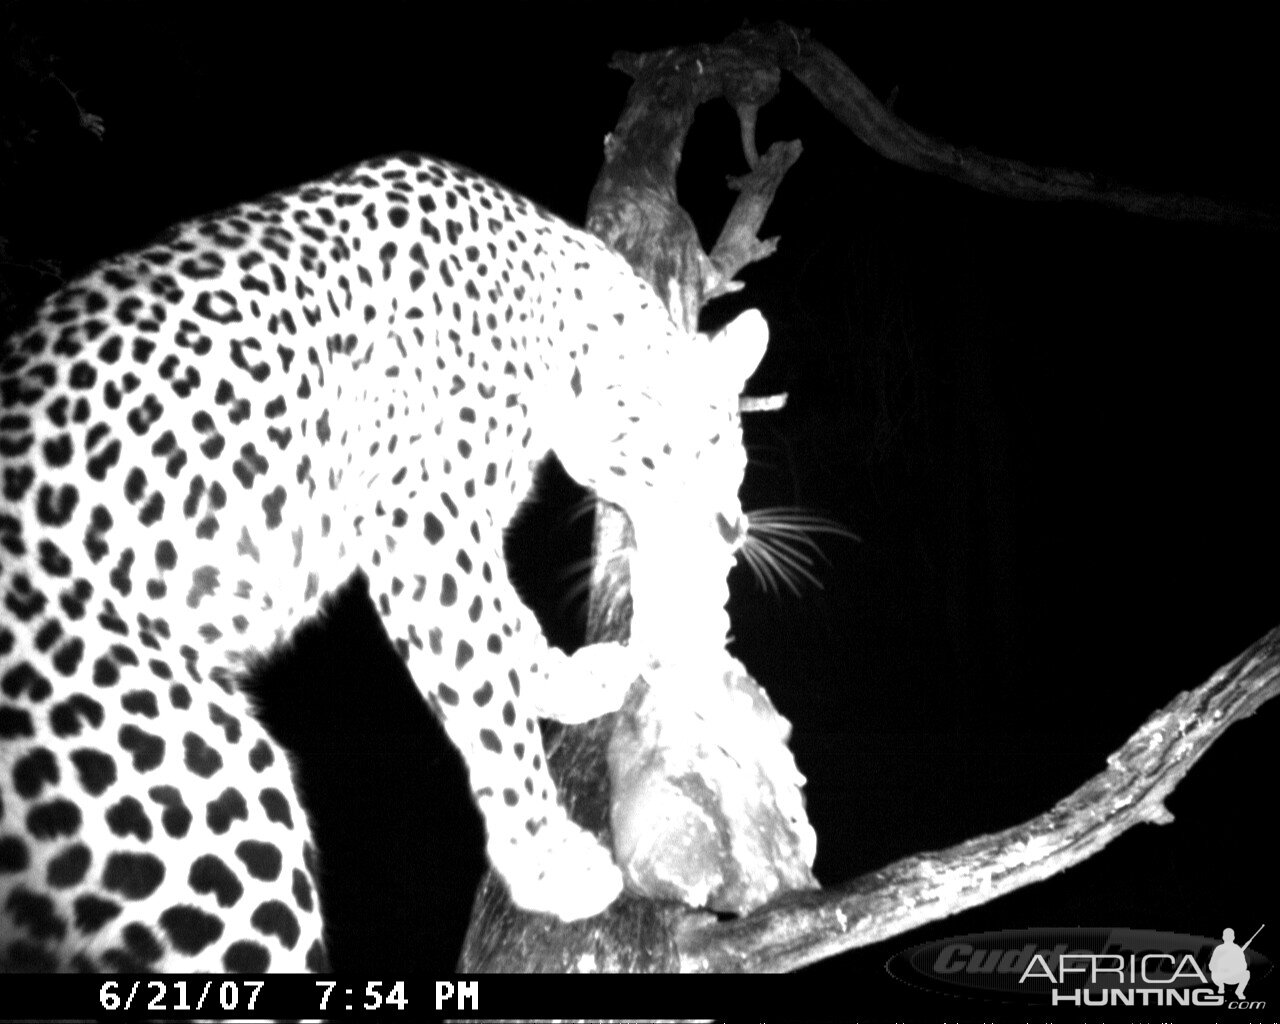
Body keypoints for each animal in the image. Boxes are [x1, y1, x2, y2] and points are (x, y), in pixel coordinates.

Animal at [0, 152, 768, 967]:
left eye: (733, 448)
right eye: (710, 446)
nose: (734, 528)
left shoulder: (459, 524)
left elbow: (508, 627)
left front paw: (566, 678)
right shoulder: (423, 516)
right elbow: (485, 690)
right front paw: (544, 859)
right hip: (219, 809)